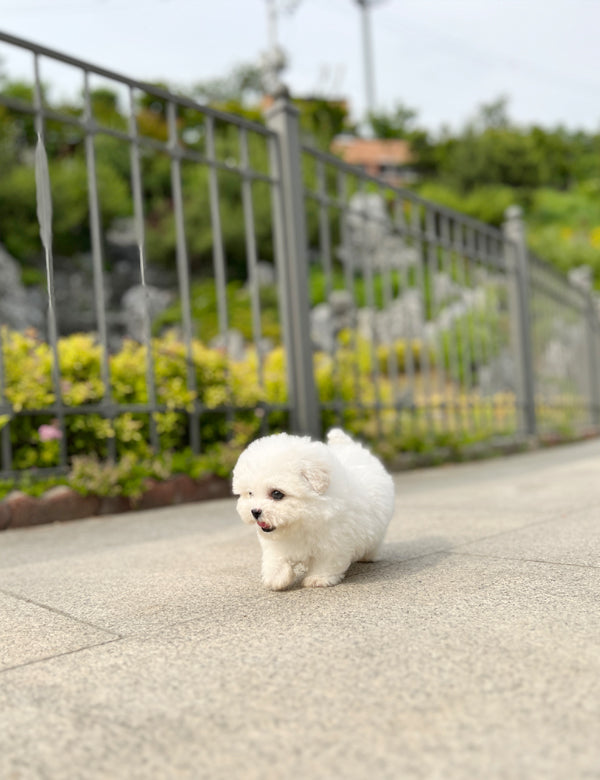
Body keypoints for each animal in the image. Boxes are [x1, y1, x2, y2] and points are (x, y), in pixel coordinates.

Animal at [231, 430, 394, 588]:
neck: (303, 520)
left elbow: (325, 562)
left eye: (277, 494)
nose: (254, 511)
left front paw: (318, 579)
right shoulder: (276, 543)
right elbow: (275, 557)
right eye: (250, 493)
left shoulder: (333, 541)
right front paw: (275, 577)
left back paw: (368, 556)